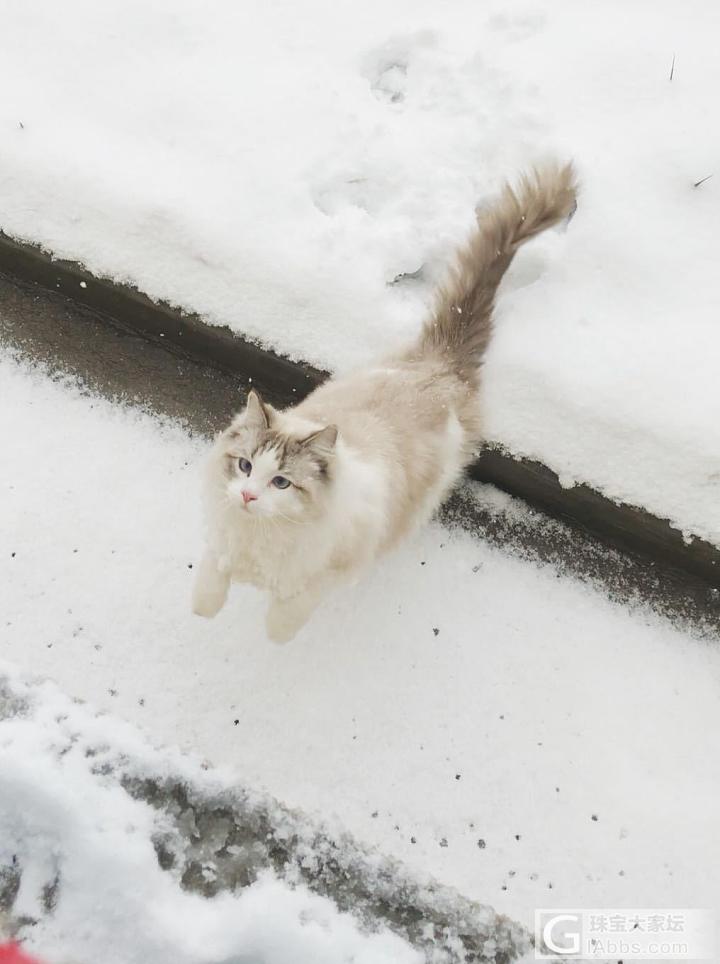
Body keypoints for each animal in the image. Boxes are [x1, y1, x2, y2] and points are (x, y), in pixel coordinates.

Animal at [194, 165, 576, 640]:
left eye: (281, 482)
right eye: (244, 466)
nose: (247, 496)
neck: (258, 534)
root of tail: (439, 364)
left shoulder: (330, 571)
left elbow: (289, 611)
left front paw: (276, 634)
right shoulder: (221, 541)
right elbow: (210, 584)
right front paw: (204, 609)